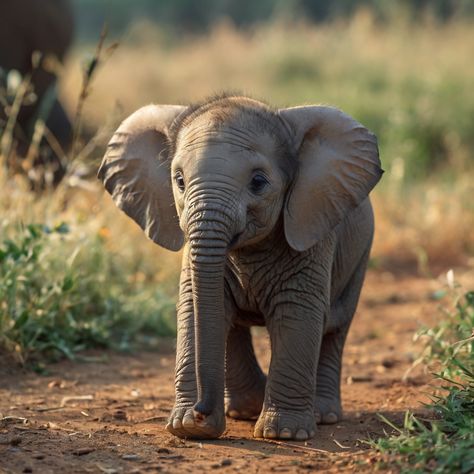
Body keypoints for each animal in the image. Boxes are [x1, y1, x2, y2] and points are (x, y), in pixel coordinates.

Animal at [98, 94, 384, 442]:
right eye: (179, 181)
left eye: (258, 182)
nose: (201, 412)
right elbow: (197, 308)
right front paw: (187, 428)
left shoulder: (311, 232)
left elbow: (297, 312)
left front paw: (284, 434)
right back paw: (246, 410)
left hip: (360, 254)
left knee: (335, 327)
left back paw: (322, 415)